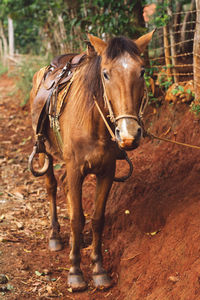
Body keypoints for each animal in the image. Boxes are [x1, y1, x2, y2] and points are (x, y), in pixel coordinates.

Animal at [29, 31, 155, 292]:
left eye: (141, 71)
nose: (129, 134)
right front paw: (75, 272)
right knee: (52, 186)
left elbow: (97, 219)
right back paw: (55, 236)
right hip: (45, 150)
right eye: (105, 73)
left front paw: (99, 270)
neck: (93, 121)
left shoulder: (107, 171)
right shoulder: (75, 169)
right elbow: (77, 219)